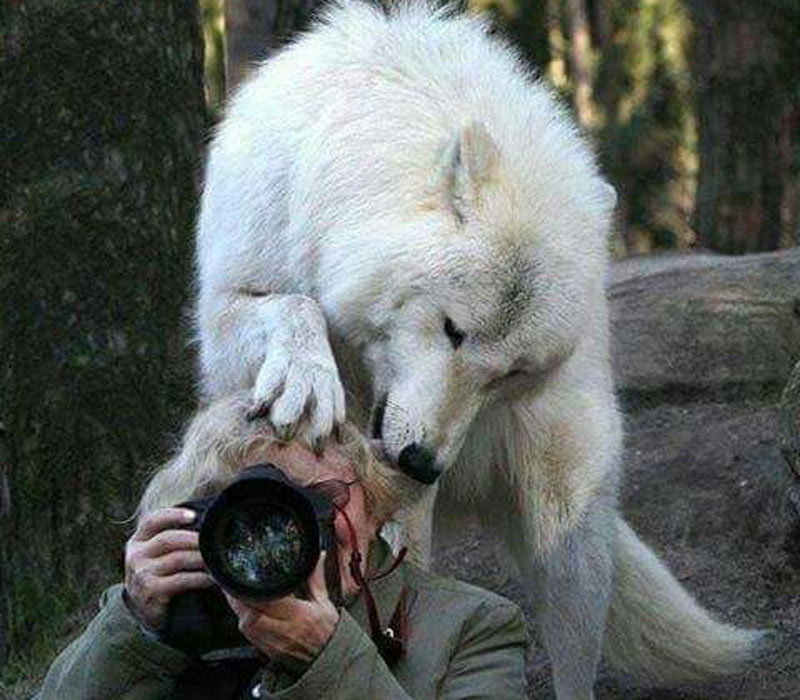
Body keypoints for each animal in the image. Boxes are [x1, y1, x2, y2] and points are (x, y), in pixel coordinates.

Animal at [194, 1, 764, 697]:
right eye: (452, 329)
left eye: (511, 373)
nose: (421, 463)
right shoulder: (229, 302)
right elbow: (292, 306)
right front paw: (306, 379)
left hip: (567, 521)